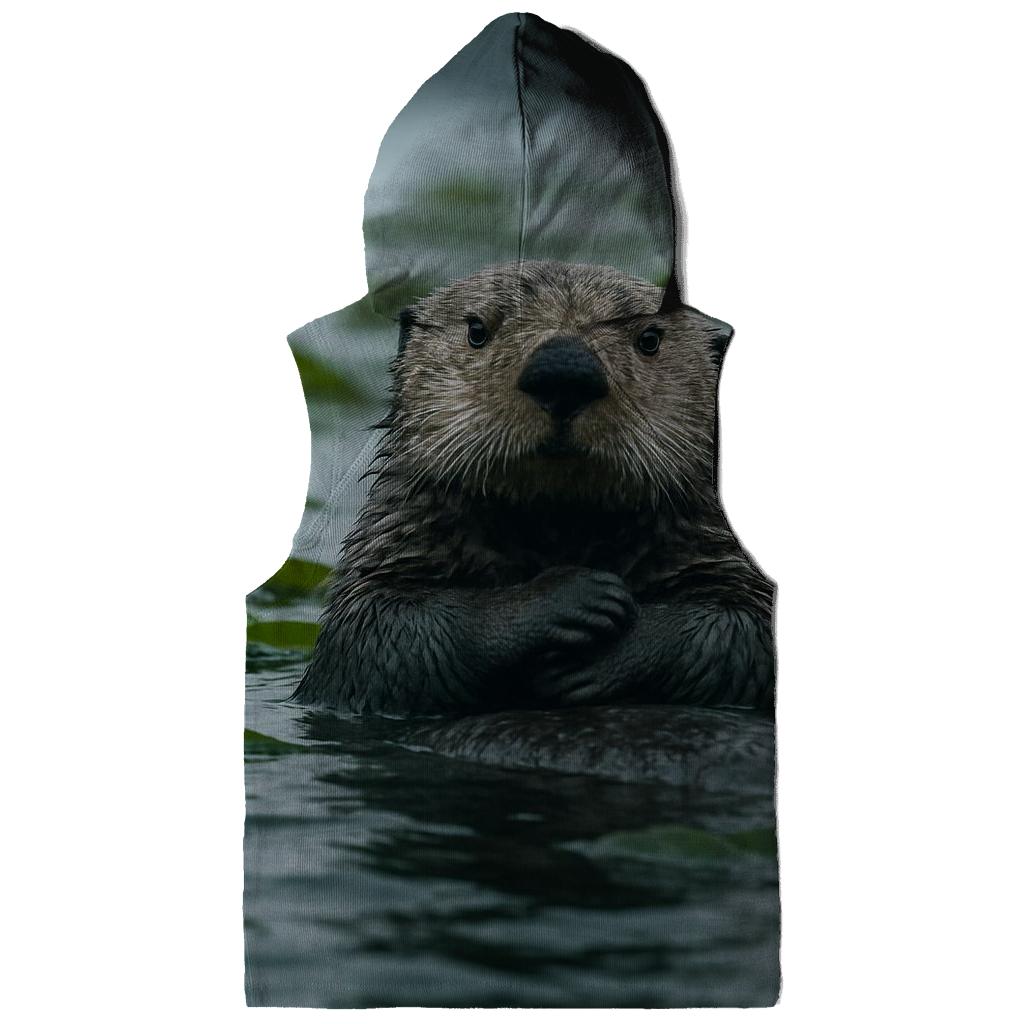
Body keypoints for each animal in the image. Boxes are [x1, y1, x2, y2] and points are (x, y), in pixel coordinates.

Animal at [294, 261, 774, 716]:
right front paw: (569, 595)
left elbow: (737, 633)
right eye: (477, 330)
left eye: (650, 339)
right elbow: (383, 637)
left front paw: (607, 654)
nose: (564, 369)